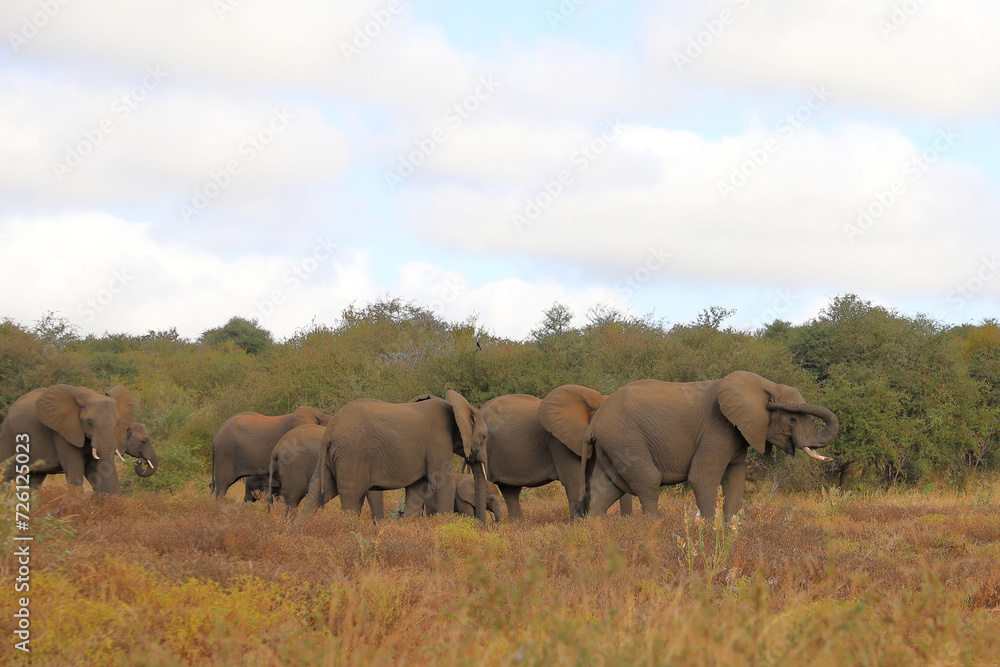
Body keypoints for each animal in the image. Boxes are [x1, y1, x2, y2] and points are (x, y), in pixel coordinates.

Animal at [0, 384, 150, 494]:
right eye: (89, 422)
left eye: (118, 423)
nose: (140, 462)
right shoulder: (63, 431)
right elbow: (75, 469)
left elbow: (95, 470)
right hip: (8, 435)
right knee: (7, 474)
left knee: (35, 478)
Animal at [300, 391, 489, 521]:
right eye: (485, 437)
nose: (481, 527)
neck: (456, 406)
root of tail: (330, 430)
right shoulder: (438, 440)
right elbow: (442, 483)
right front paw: (445, 526)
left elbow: (417, 489)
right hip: (352, 455)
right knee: (352, 499)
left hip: (331, 456)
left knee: (316, 493)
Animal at [482, 389, 631, 520]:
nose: (625, 519)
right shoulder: (559, 443)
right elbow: (575, 481)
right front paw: (578, 526)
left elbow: (589, 479)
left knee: (510, 491)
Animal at [549, 371, 837, 520]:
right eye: (792, 419)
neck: (761, 384)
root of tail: (595, 424)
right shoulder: (717, 430)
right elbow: (702, 478)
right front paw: (710, 534)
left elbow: (736, 482)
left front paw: (731, 532)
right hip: (626, 438)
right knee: (648, 481)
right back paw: (653, 531)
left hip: (614, 444)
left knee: (608, 488)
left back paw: (594, 532)